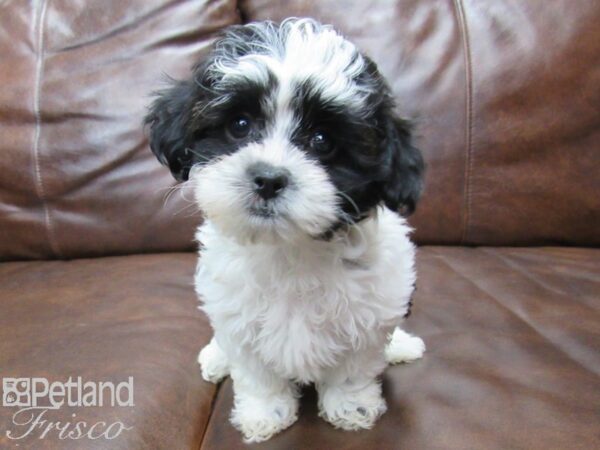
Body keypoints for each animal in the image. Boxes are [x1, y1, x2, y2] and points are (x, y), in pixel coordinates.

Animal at [146, 18, 426, 442]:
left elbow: (354, 368)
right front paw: (265, 414)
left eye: (322, 140)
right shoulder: (238, 320)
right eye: (239, 125)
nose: (268, 179)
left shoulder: (371, 316)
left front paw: (351, 407)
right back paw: (215, 357)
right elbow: (256, 373)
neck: (289, 249)